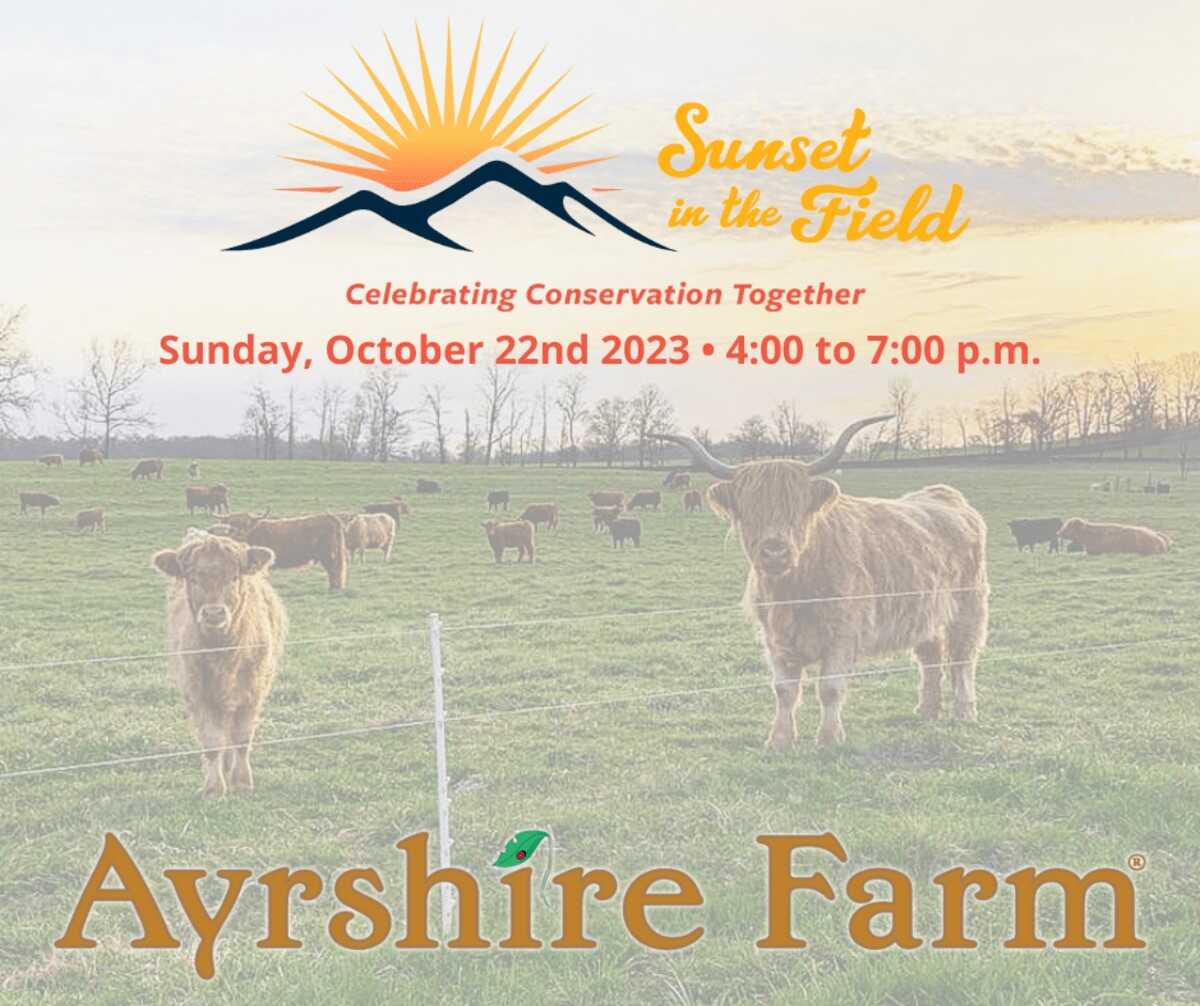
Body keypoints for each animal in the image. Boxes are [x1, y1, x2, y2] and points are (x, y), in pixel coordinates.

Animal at [151, 530, 286, 801]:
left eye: (234, 577)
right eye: (192, 578)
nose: (214, 614)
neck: (223, 654)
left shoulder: (253, 691)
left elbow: (242, 738)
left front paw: (242, 782)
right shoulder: (198, 693)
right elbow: (212, 742)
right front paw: (214, 787)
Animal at [652, 415, 988, 749]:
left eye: (797, 508)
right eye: (750, 510)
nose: (774, 551)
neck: (794, 590)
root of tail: (946, 495)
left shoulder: (843, 634)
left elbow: (830, 687)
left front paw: (828, 738)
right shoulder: (775, 637)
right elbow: (784, 690)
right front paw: (780, 739)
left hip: (968, 607)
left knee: (963, 659)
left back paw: (965, 712)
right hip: (925, 612)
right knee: (931, 658)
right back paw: (927, 711)